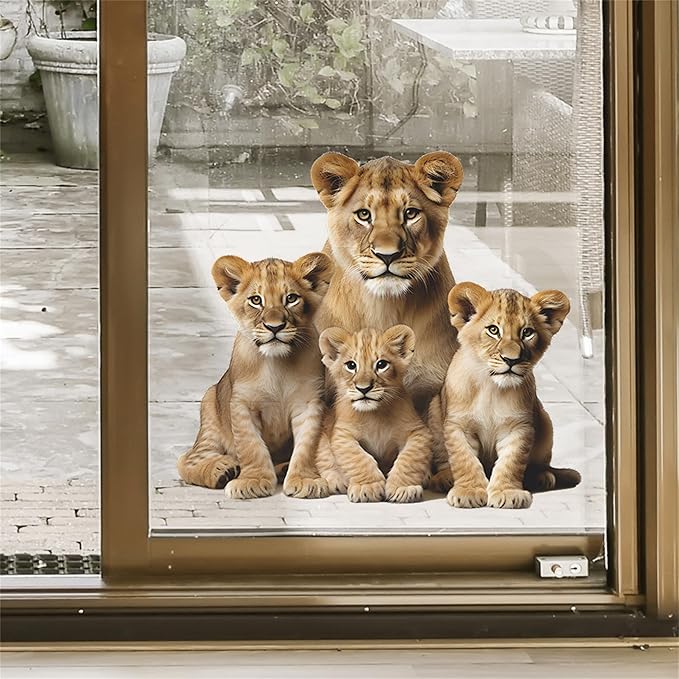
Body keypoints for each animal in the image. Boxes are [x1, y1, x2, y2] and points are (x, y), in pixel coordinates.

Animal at [176, 253, 333, 499]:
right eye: (256, 300)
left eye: (291, 298)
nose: (274, 327)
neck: (277, 364)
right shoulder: (243, 404)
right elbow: (251, 445)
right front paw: (253, 481)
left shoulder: (309, 403)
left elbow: (307, 445)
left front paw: (304, 480)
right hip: (210, 409)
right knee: (188, 459)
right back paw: (222, 470)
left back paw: (283, 468)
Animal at [315, 324, 433, 503]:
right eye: (351, 365)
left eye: (381, 364)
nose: (363, 388)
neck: (374, 414)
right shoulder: (342, 434)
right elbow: (359, 458)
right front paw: (367, 487)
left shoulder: (417, 431)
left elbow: (409, 459)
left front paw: (402, 488)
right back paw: (338, 480)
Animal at [429, 282, 582, 509]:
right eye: (493, 330)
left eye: (527, 332)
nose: (511, 360)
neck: (490, 387)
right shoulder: (459, 426)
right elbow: (464, 459)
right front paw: (468, 492)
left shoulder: (518, 427)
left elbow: (511, 462)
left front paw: (508, 493)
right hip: (434, 409)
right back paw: (445, 477)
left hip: (545, 421)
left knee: (540, 464)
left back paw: (541, 477)